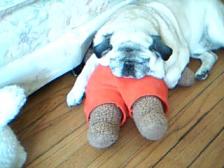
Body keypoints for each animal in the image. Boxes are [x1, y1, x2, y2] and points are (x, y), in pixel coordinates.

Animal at [67, 0, 224, 105]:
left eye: (144, 60)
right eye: (115, 59)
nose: (129, 65)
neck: (132, 23)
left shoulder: (182, 53)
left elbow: (169, 78)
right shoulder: (95, 59)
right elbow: (83, 75)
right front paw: (75, 93)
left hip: (214, 32)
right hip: (194, 46)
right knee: (211, 55)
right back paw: (203, 71)